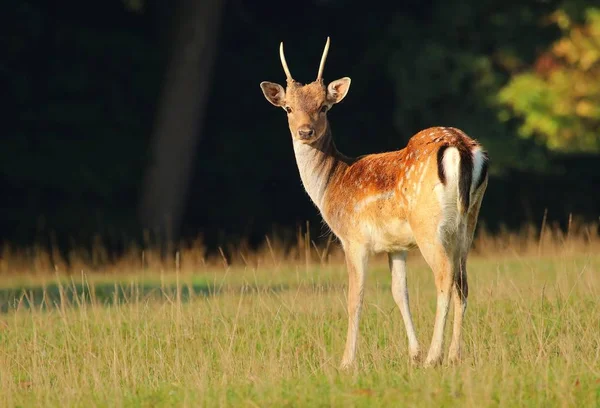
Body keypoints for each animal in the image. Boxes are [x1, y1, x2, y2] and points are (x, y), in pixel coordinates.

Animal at [258, 37, 488, 370]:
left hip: (429, 225)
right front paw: (413, 353)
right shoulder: (396, 245)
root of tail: (461, 147)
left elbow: (355, 298)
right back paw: (454, 355)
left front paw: (346, 361)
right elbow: (399, 292)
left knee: (445, 278)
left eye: (324, 106)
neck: (332, 184)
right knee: (463, 283)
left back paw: (436, 356)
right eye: (288, 107)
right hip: (468, 222)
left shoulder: (353, 239)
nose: (305, 131)